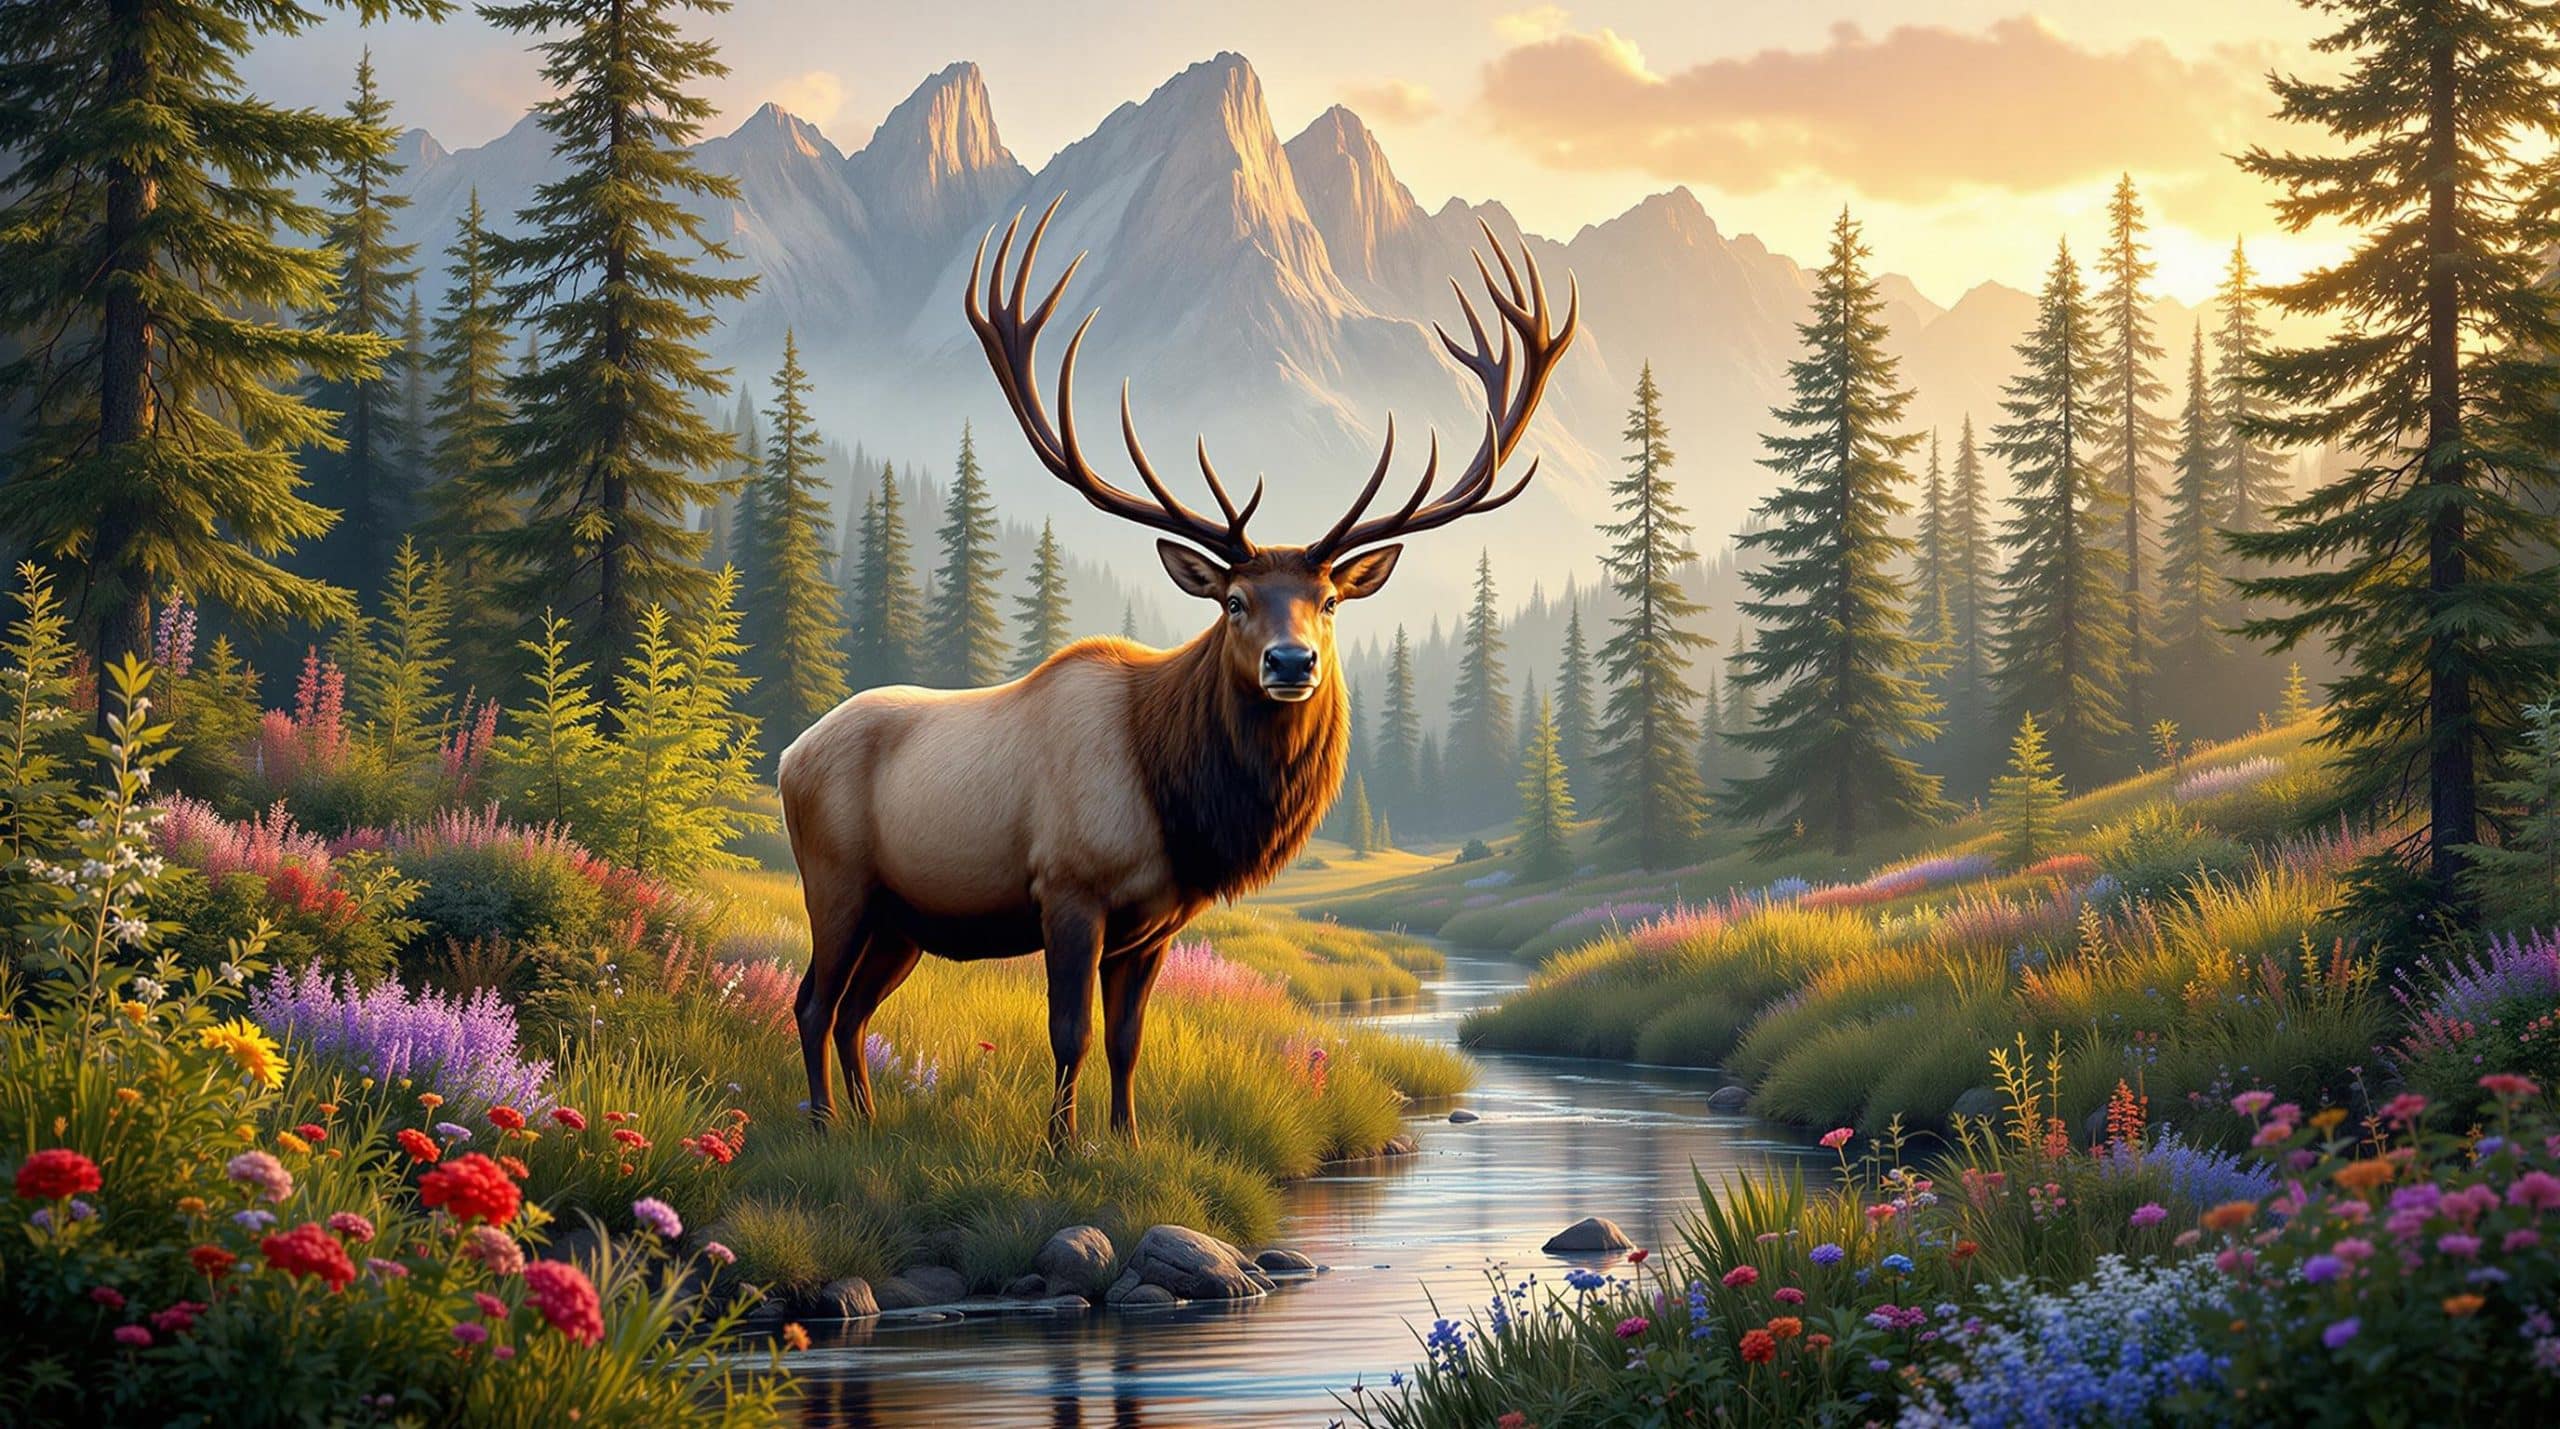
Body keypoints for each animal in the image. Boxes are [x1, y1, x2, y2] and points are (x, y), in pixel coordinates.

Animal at [777, 197, 1577, 1149]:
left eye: (1329, 601)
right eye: (1233, 599)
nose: (1291, 660)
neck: (1177, 799)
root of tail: (786, 755)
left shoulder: (1154, 922)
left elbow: (1128, 1039)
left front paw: (1124, 1141)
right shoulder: (1069, 888)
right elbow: (1071, 1033)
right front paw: (1060, 1147)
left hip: (906, 918)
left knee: (856, 1009)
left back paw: (864, 1123)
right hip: (838, 882)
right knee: (812, 1000)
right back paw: (822, 1126)